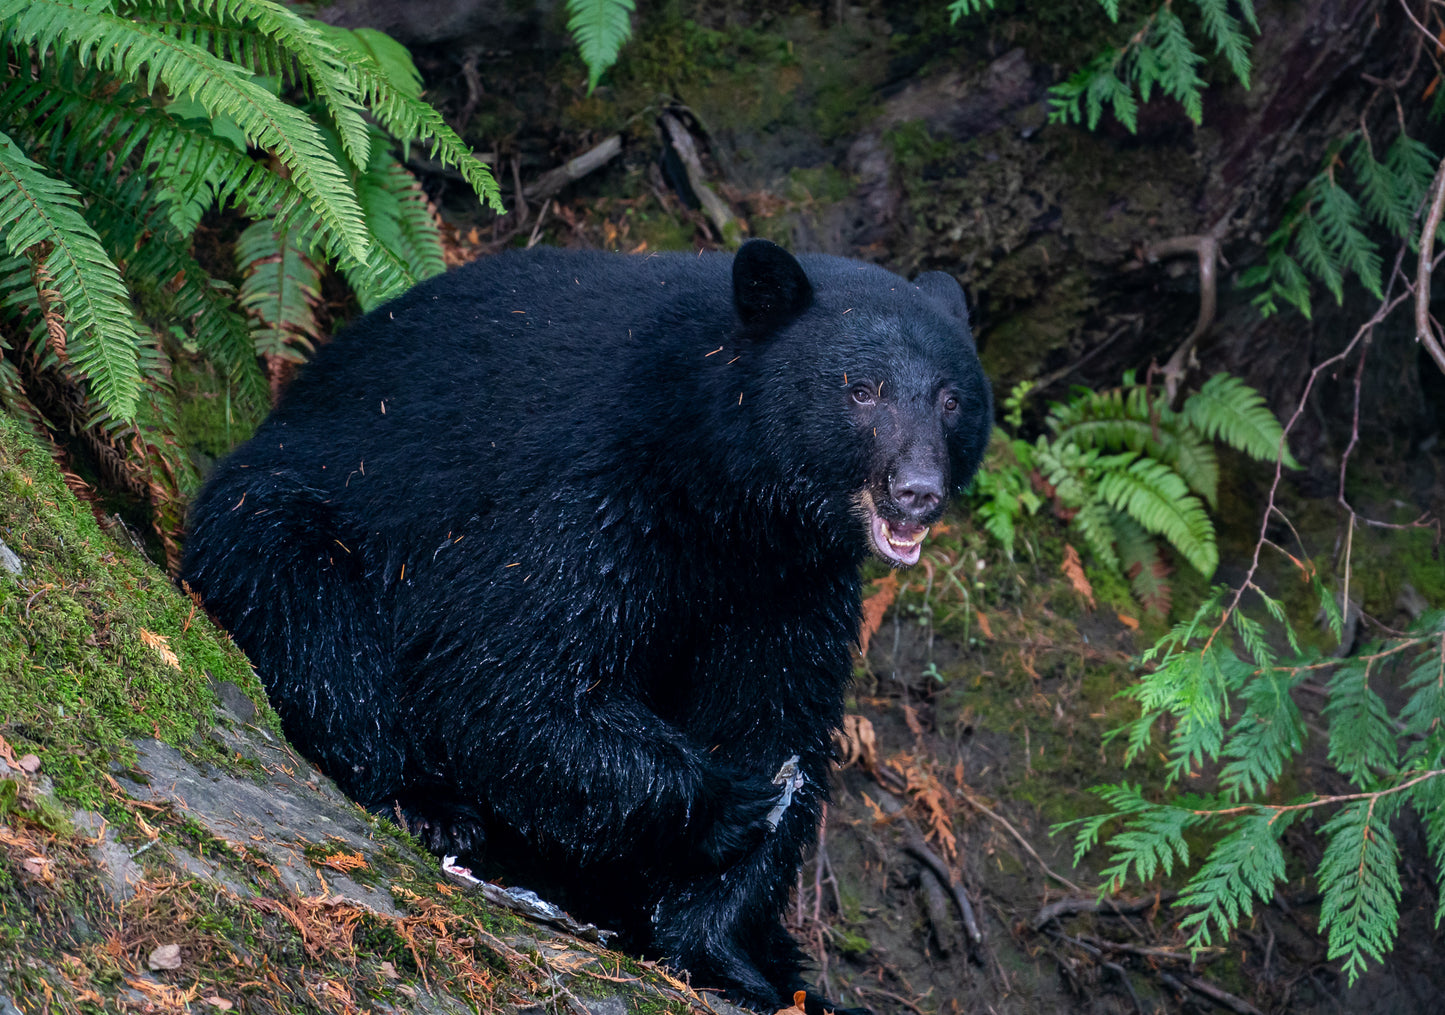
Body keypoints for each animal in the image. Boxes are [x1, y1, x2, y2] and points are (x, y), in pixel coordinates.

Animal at [180, 240, 988, 1015]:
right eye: (861, 389)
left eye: (951, 399)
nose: (917, 492)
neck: (727, 492)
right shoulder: (596, 486)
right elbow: (506, 673)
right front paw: (729, 797)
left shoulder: (790, 583)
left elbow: (775, 711)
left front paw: (734, 958)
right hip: (296, 506)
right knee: (313, 619)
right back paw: (424, 802)